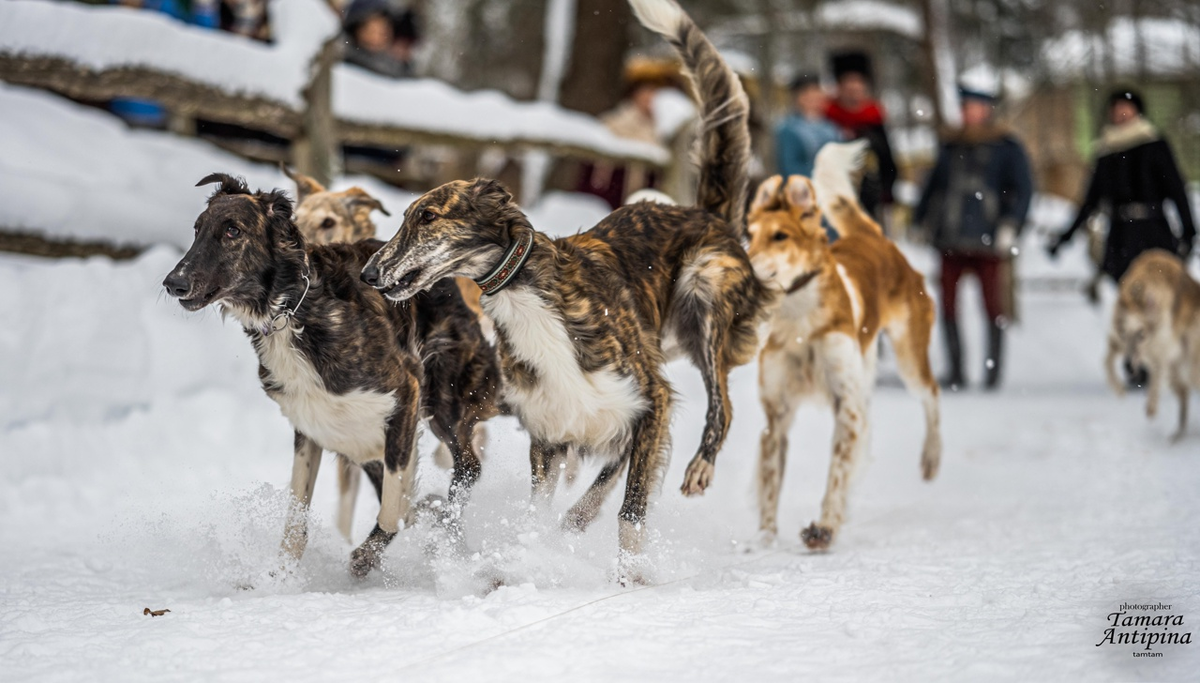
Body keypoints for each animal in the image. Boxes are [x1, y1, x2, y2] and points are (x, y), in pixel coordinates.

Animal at [744, 142, 940, 549]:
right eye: (749, 234)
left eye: (780, 236)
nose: (745, 264)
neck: (798, 320)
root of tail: (875, 235)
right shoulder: (777, 414)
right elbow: (770, 481)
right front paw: (765, 539)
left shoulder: (844, 405)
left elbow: (835, 473)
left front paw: (825, 527)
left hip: (908, 356)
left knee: (931, 394)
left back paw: (931, 457)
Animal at [1104, 247, 1200, 439]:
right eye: (1124, 334)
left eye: (1141, 334)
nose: (1131, 368)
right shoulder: (1119, 342)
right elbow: (1107, 362)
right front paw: (1119, 389)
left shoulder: (1162, 350)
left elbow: (1156, 378)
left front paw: (1151, 408)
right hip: (1176, 374)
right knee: (1184, 397)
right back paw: (1177, 435)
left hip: (1189, 362)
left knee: (1189, 383)